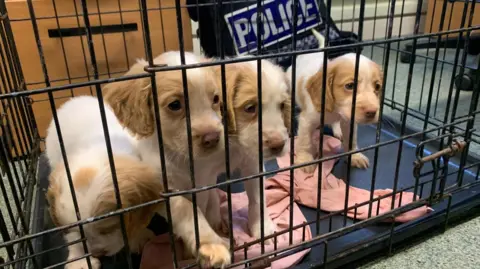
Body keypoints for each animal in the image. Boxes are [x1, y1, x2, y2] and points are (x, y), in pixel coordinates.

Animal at [45, 96, 165, 268]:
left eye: (108, 229)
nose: (97, 253)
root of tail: (74, 100)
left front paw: (138, 237)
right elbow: (73, 237)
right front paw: (80, 261)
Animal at [102, 51, 231, 266]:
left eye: (215, 98)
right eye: (175, 105)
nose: (213, 138)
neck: (184, 159)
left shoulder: (205, 184)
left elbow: (208, 203)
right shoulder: (164, 190)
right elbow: (188, 210)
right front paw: (210, 246)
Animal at [213, 58, 288, 241]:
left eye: (282, 105)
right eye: (250, 108)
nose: (278, 145)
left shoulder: (253, 165)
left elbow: (258, 199)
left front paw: (262, 227)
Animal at [286, 29, 384, 172]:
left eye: (377, 87)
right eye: (350, 86)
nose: (372, 112)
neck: (335, 110)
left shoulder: (349, 122)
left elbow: (351, 139)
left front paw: (354, 156)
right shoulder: (306, 120)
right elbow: (305, 142)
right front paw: (305, 160)